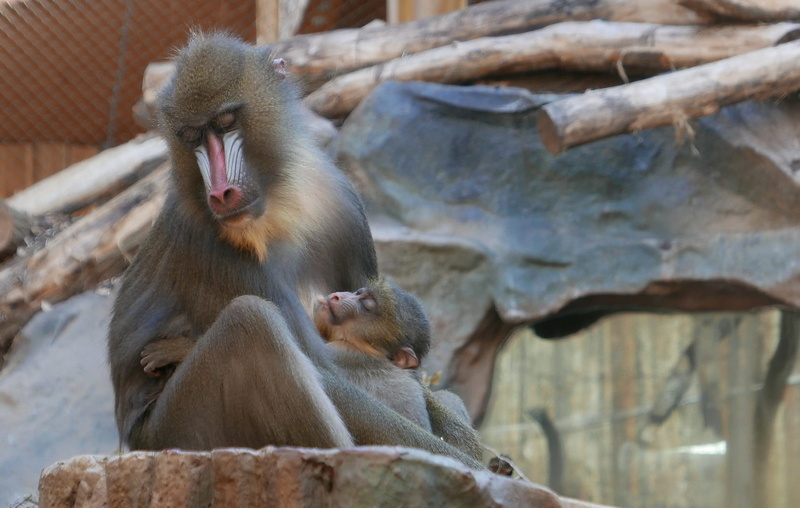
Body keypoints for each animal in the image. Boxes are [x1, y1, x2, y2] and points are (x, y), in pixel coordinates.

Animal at [107, 31, 483, 469]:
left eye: (225, 123)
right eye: (191, 137)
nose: (220, 193)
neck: (279, 200)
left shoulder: (343, 204)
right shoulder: (206, 242)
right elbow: (324, 370)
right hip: (177, 431)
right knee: (253, 322)